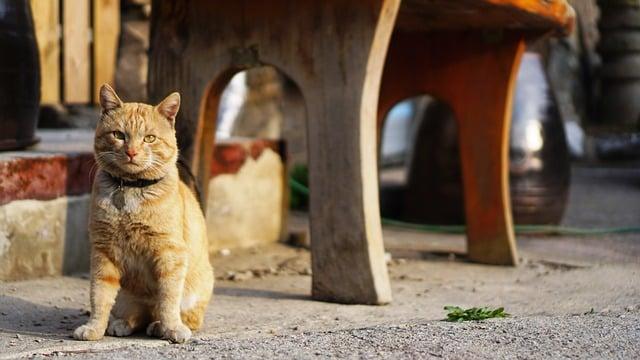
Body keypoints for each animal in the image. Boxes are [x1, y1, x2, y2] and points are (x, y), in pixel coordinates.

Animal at [72, 83, 212, 344]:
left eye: (149, 138)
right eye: (119, 135)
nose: (132, 152)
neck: (129, 189)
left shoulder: (170, 254)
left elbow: (167, 299)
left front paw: (171, 328)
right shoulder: (103, 252)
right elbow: (99, 297)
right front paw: (94, 328)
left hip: (196, 292)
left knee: (175, 315)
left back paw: (159, 326)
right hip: (126, 298)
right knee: (137, 314)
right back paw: (121, 324)